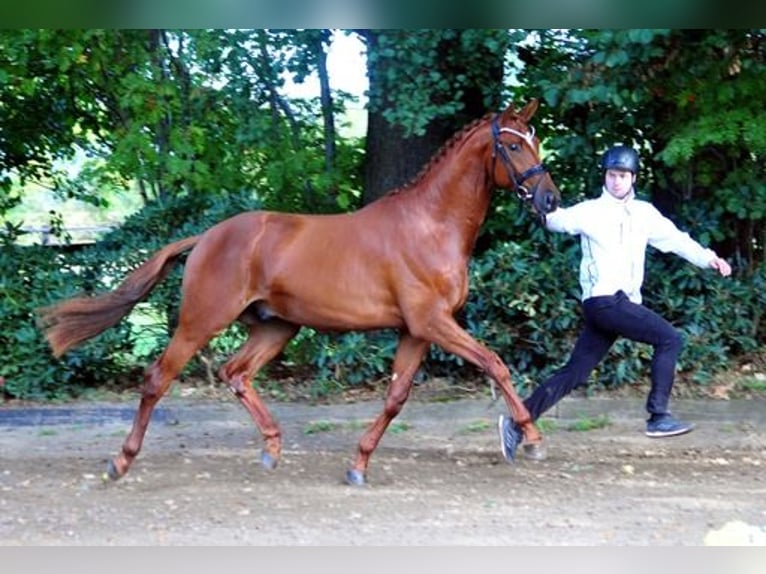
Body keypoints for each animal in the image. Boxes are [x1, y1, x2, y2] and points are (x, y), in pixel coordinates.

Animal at [38, 99, 560, 486]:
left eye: (535, 141)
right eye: (511, 145)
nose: (550, 199)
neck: (429, 226)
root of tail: (206, 237)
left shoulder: (417, 331)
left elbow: (396, 398)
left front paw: (358, 465)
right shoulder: (432, 322)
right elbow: (495, 363)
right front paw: (532, 440)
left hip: (276, 328)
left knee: (235, 372)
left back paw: (271, 448)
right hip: (200, 322)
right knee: (157, 380)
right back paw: (120, 462)